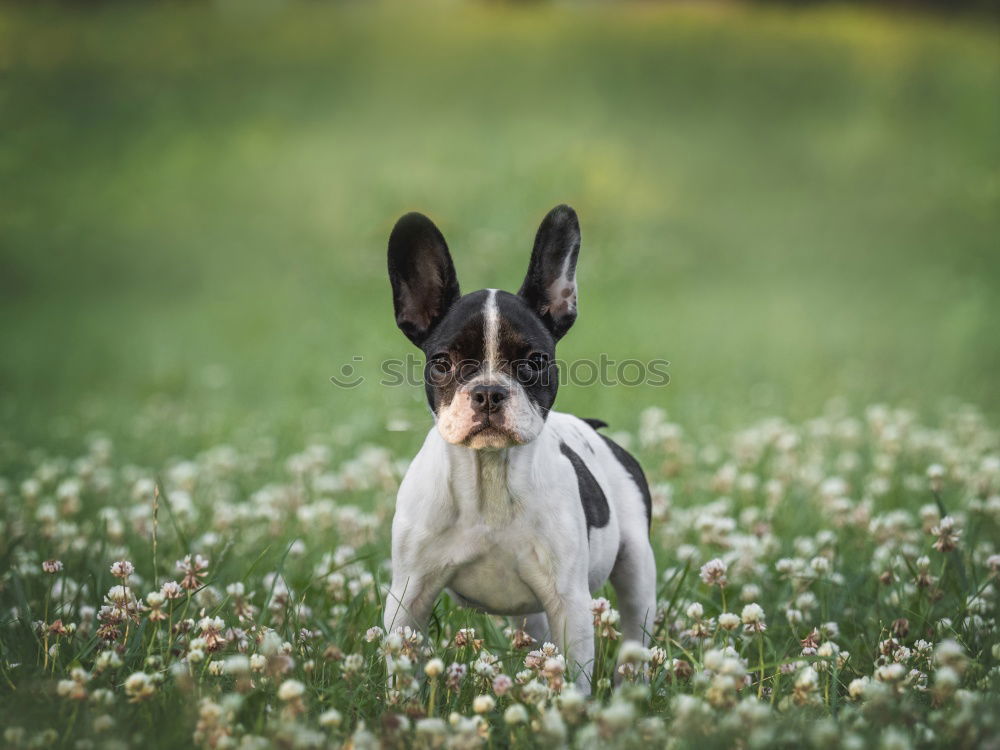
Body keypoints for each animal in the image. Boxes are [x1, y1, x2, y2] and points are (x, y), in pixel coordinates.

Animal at [380, 206, 656, 692]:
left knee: (634, 630)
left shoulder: (569, 603)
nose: (489, 392)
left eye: (534, 362)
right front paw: (397, 705)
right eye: (442, 363)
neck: (489, 475)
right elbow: (400, 665)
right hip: (533, 616)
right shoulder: (407, 597)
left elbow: (574, 679)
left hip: (638, 566)